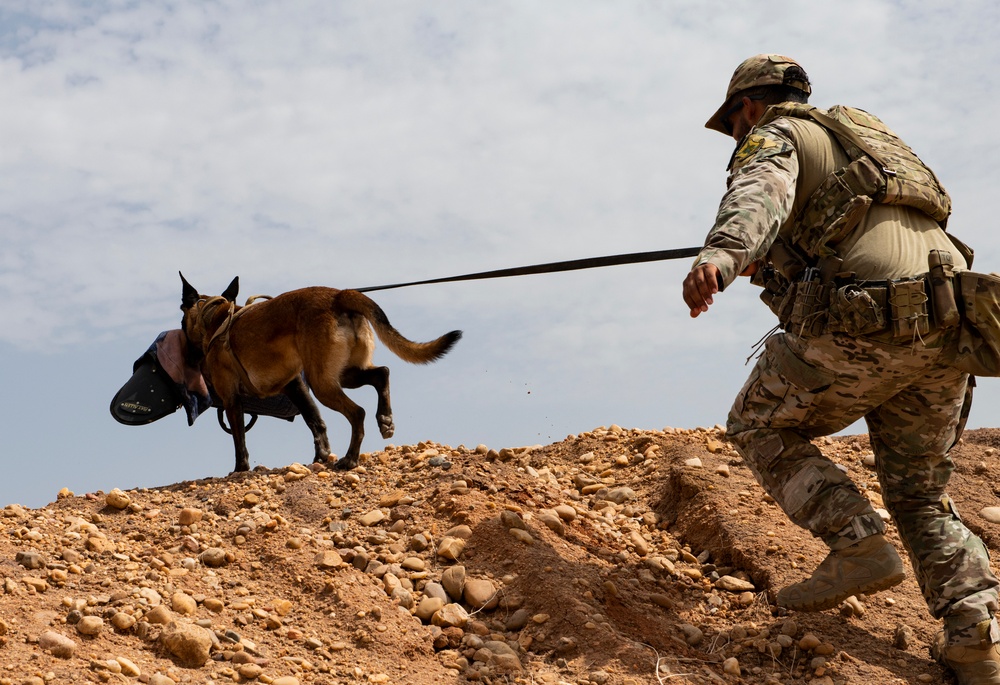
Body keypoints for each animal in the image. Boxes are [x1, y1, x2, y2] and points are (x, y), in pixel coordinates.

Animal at [180, 272, 460, 470]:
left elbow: (239, 440)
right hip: (341, 375)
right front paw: (321, 455)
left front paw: (240, 469)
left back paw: (350, 459)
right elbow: (315, 420)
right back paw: (385, 419)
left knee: (358, 412)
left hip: (323, 383)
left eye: (181, 322)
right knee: (382, 373)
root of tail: (339, 295)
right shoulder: (294, 385)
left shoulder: (231, 398)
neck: (217, 318)